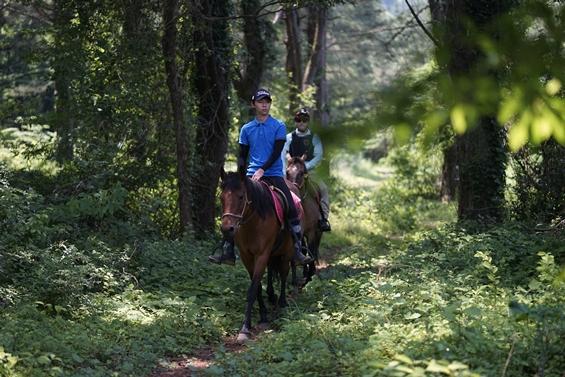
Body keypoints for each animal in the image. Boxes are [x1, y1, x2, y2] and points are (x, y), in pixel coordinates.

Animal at [218, 168, 296, 340]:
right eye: (221, 197)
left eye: (241, 196)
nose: (227, 229)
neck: (253, 222)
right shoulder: (246, 256)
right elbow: (257, 287)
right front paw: (263, 316)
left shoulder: (261, 255)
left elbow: (252, 289)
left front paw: (245, 329)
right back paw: (272, 297)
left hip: (287, 252)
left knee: (284, 273)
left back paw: (282, 303)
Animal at [286, 154, 322, 284]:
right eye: (287, 172)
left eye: (302, 173)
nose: (292, 189)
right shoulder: (300, 232)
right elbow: (302, 250)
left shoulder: (311, 231)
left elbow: (311, 248)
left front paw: (310, 274)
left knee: (314, 248)